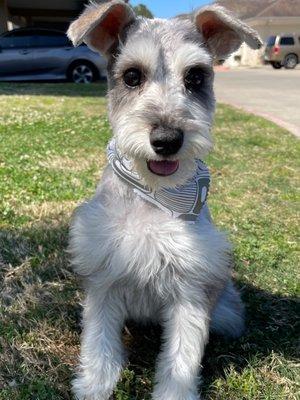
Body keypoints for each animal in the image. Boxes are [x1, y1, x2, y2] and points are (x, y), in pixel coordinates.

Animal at [67, 1, 262, 398]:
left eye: (196, 77)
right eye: (131, 76)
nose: (167, 139)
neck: (155, 199)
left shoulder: (190, 290)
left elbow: (181, 358)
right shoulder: (104, 279)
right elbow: (99, 344)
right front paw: (93, 386)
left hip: (223, 309)